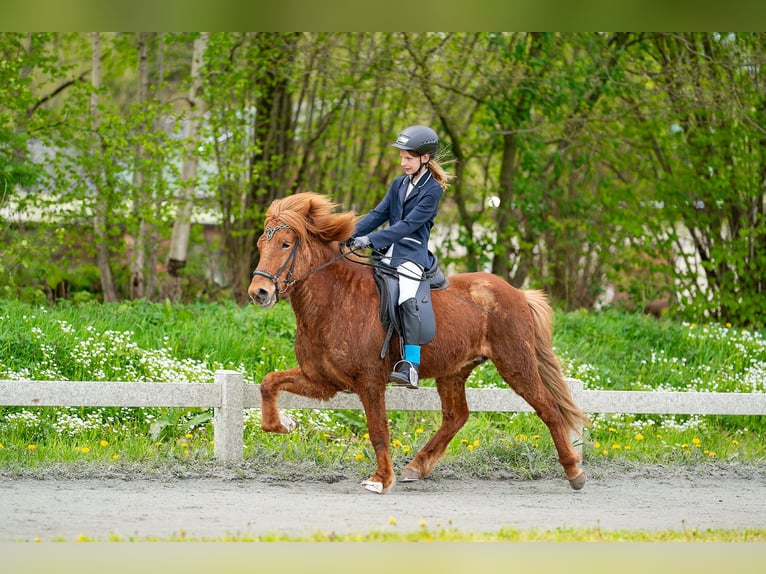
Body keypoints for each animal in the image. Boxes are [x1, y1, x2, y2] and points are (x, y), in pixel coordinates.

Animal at [249, 192, 592, 496]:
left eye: (285, 244)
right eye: (261, 244)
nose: (259, 292)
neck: (336, 301)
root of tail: (517, 294)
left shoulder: (370, 382)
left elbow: (378, 431)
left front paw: (381, 480)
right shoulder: (322, 380)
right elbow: (268, 383)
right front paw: (284, 424)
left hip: (516, 363)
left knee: (548, 408)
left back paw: (574, 471)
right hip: (454, 371)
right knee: (456, 417)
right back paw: (417, 466)